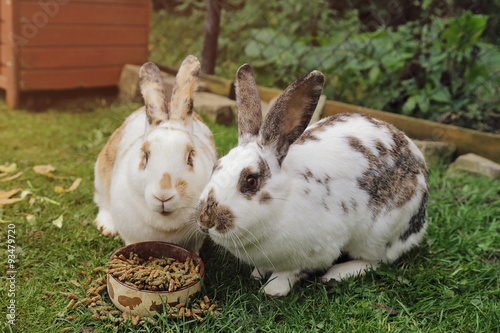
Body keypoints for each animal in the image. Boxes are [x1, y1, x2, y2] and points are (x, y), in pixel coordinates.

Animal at [94, 55, 218, 252]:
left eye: (190, 156)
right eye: (145, 155)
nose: (163, 195)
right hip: (100, 174)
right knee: (102, 202)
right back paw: (106, 227)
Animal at [195, 63, 426, 294]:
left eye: (251, 181)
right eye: (216, 166)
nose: (206, 220)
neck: (283, 201)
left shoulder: (316, 251)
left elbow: (290, 273)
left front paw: (272, 289)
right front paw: (256, 275)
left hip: (378, 233)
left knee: (376, 260)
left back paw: (338, 273)